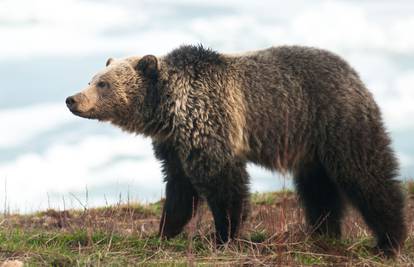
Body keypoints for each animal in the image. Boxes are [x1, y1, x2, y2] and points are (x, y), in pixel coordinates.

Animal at [66, 45, 406, 258]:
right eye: (91, 79)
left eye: (103, 84)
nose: (72, 98)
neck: (167, 110)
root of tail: (353, 72)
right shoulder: (174, 145)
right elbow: (179, 188)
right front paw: (164, 231)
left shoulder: (210, 123)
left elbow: (224, 184)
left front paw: (223, 236)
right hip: (310, 146)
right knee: (318, 189)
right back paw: (323, 233)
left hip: (334, 119)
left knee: (366, 174)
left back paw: (389, 241)